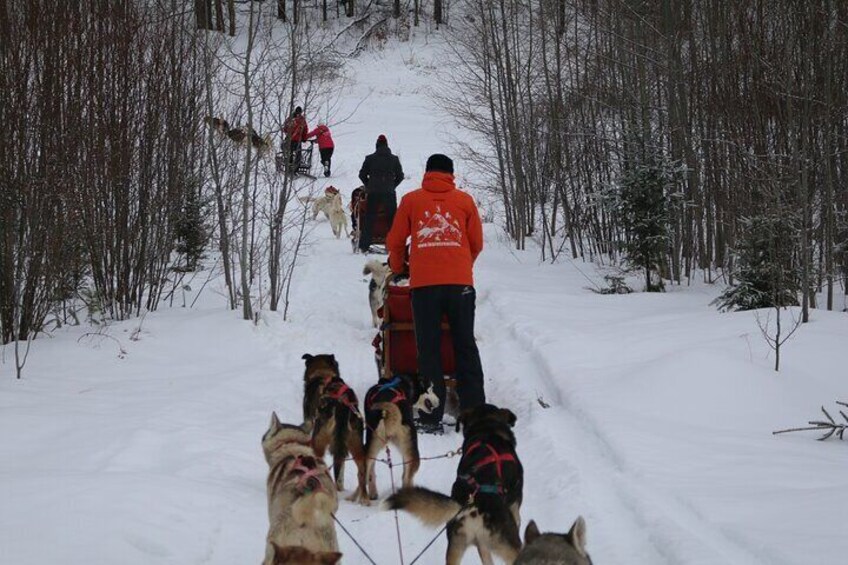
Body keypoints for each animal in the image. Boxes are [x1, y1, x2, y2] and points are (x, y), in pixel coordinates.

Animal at [352, 372, 440, 504]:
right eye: (431, 388)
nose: (439, 401)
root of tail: (387, 410)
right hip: (412, 450)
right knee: (406, 477)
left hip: (371, 443)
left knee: (363, 474)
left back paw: (363, 498)